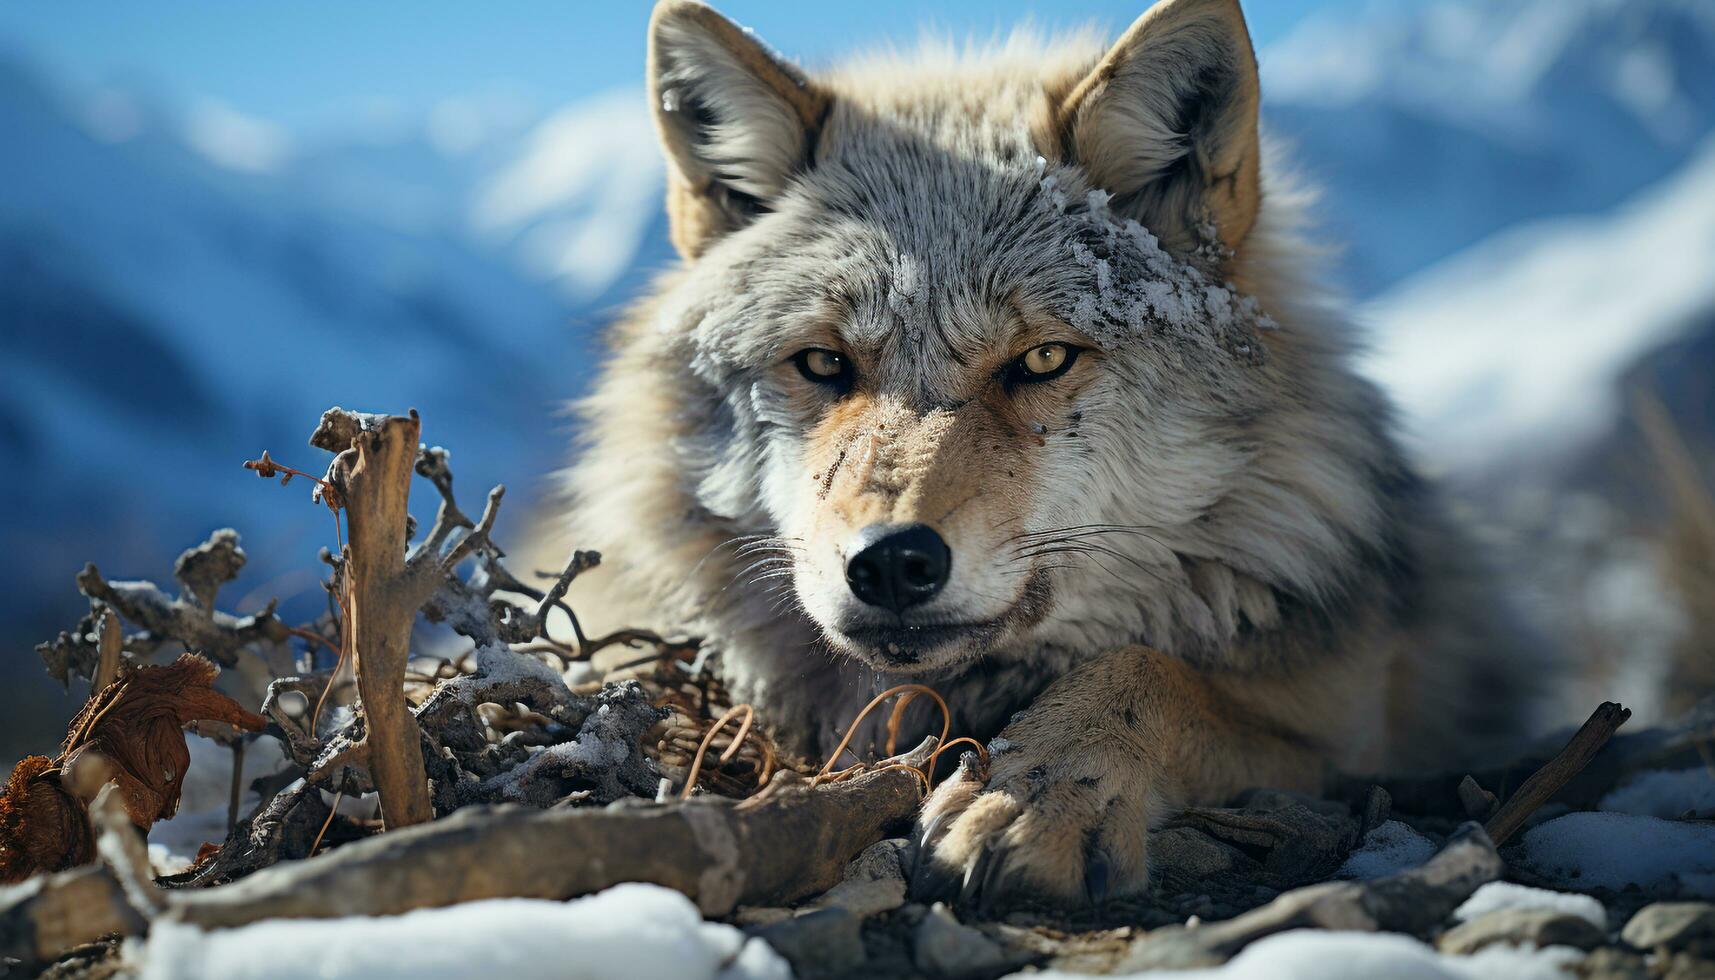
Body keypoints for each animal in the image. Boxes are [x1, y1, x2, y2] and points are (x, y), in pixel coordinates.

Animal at [562, 0, 1543, 906]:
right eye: (823, 363)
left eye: (1039, 360)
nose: (890, 563)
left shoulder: (1357, 727)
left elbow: (1145, 671)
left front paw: (1037, 793)